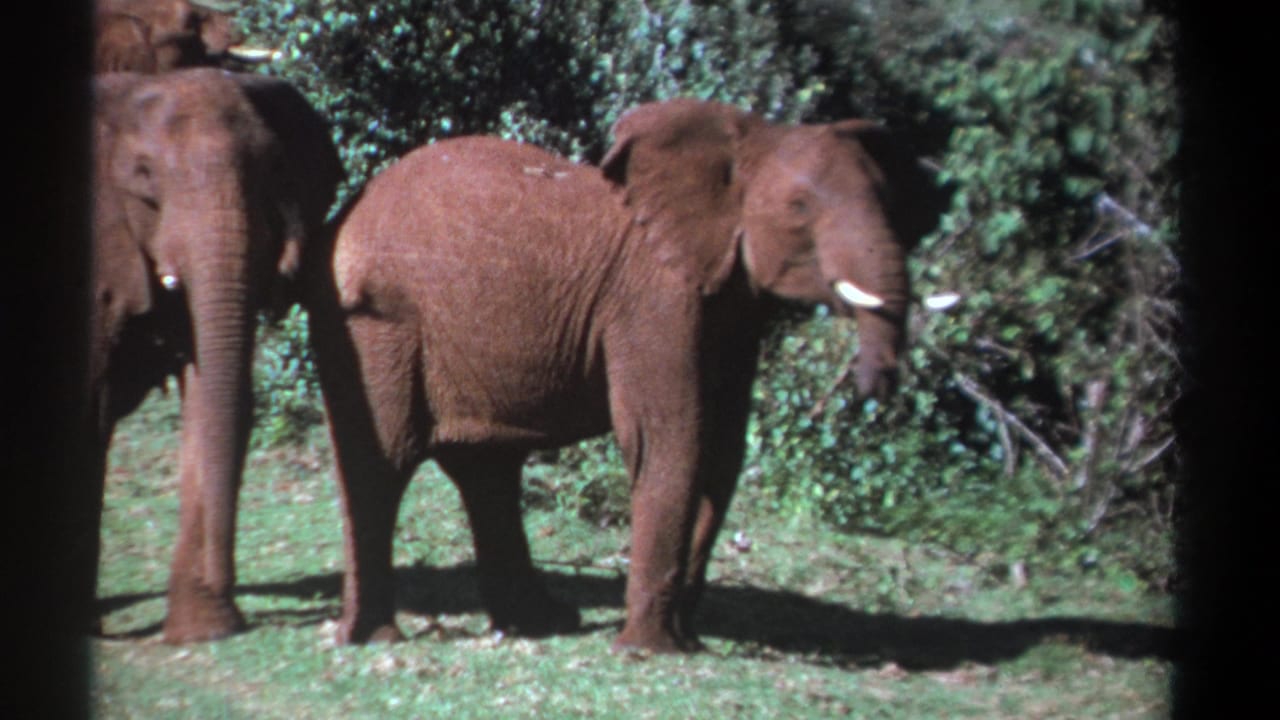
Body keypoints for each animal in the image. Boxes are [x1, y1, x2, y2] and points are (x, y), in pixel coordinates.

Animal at [304, 98, 948, 652]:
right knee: (383, 460)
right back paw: (374, 637)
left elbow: (722, 450)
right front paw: (652, 651)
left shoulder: (729, 307)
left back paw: (543, 623)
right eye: (798, 210)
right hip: (376, 325)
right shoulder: (655, 297)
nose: (872, 389)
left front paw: (685, 640)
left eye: (893, 205)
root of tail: (339, 220)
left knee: (487, 468)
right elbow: (670, 436)